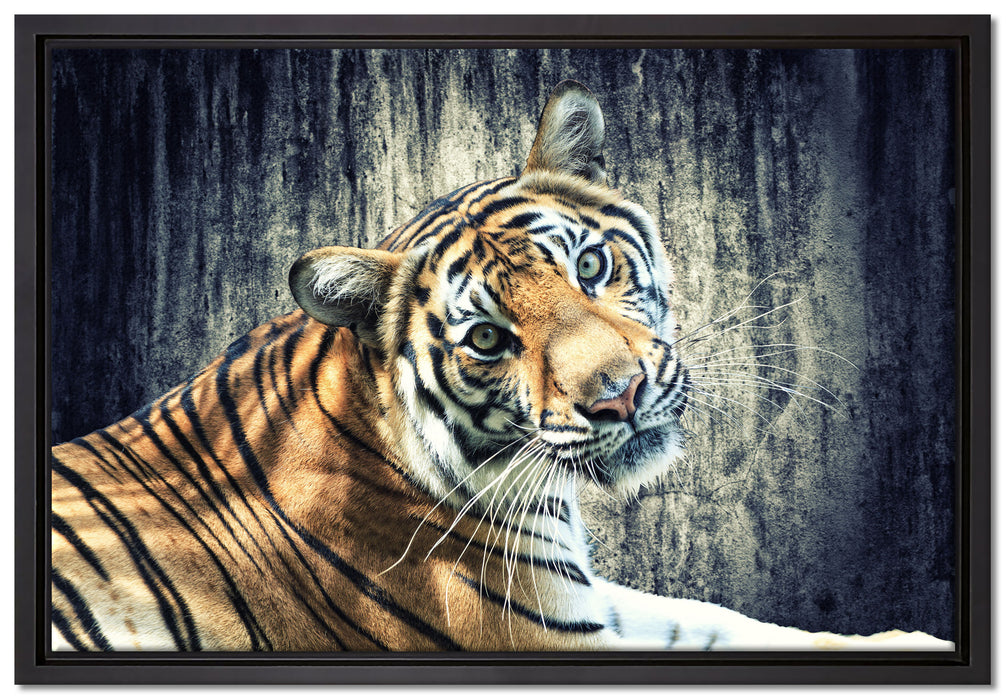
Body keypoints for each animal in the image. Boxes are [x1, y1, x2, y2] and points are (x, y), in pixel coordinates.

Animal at [50, 80, 952, 653]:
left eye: (590, 266)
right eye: (486, 340)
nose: (620, 397)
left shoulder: (592, 602)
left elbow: (716, 619)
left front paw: (906, 639)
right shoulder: (545, 638)